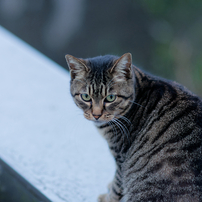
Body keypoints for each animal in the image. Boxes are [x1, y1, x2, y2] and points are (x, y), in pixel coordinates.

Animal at [65, 52, 202, 201]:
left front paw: (107, 198)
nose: (96, 115)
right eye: (85, 96)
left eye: (111, 98)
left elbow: (117, 186)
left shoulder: (121, 158)